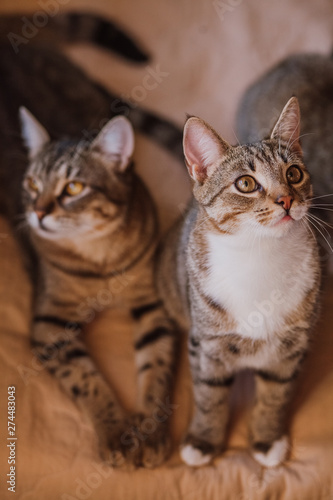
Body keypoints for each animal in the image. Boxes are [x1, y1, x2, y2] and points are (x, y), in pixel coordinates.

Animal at [19, 106, 178, 468]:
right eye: (32, 183)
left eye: (74, 187)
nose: (37, 212)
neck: (99, 259)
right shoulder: (49, 324)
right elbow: (86, 378)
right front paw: (115, 431)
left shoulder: (153, 306)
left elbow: (157, 369)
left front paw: (150, 432)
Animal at [157, 97, 320, 468]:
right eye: (245, 183)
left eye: (293, 174)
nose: (286, 200)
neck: (260, 255)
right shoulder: (206, 344)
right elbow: (209, 396)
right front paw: (203, 440)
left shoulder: (292, 346)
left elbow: (276, 393)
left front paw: (267, 437)